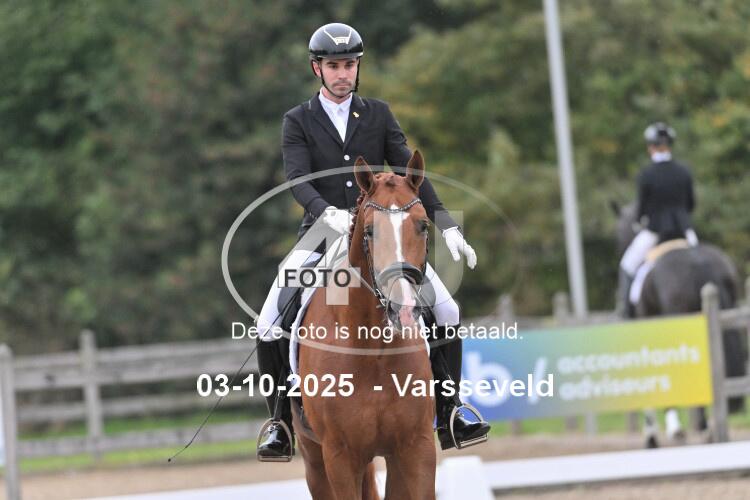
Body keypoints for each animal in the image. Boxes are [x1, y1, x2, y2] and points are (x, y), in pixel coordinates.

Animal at [293, 151, 436, 500]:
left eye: (423, 225)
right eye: (370, 231)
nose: (403, 309)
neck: (373, 349)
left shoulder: (415, 447)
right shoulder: (340, 456)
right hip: (314, 459)